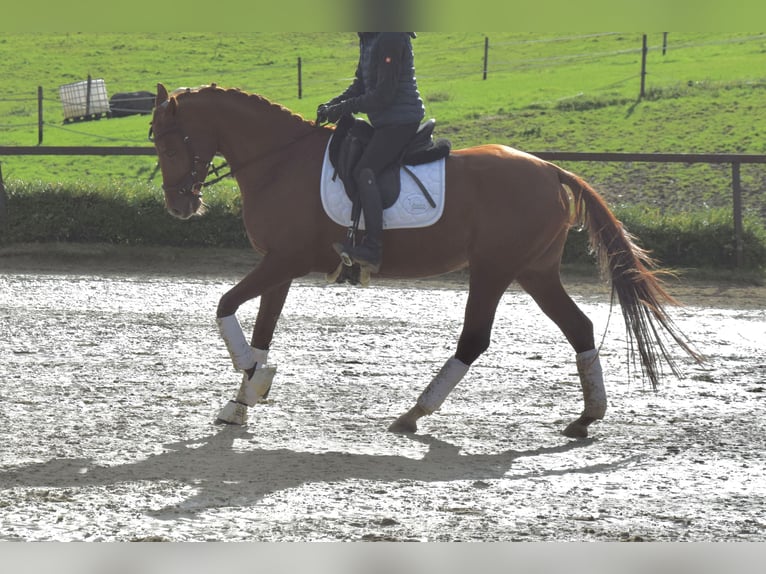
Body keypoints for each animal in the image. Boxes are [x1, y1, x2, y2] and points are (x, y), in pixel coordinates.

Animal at [150, 83, 701, 439]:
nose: (178, 206)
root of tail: (550, 169)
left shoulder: (284, 260)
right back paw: (586, 418)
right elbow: (261, 327)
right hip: (534, 270)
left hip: (494, 269)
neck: (279, 161)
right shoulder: (279, 265)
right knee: (579, 327)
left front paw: (256, 381)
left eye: (168, 140)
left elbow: (225, 307)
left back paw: (413, 413)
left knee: (475, 339)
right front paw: (240, 402)